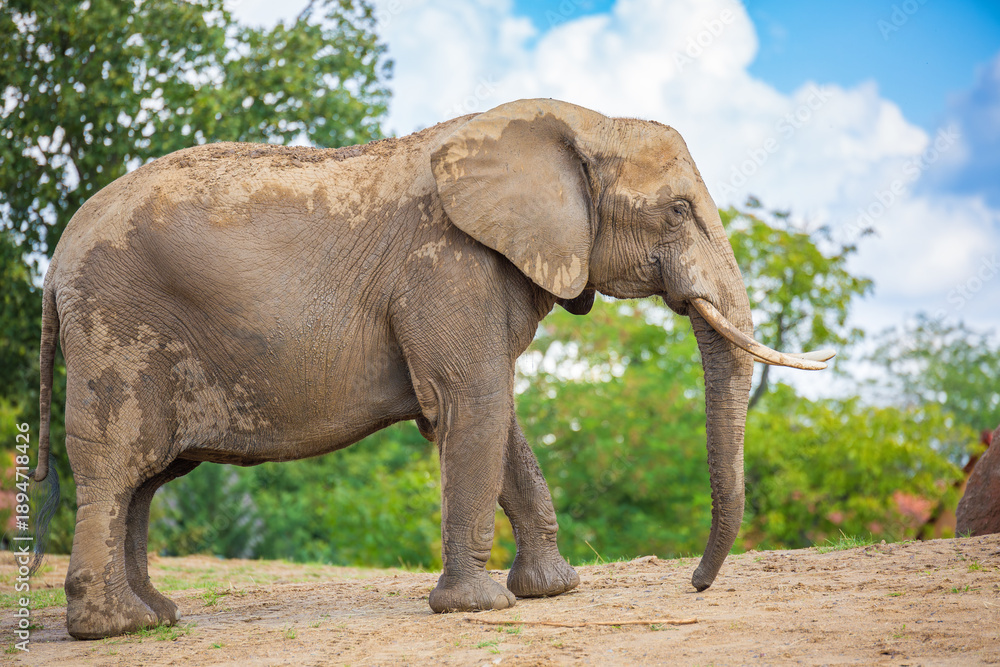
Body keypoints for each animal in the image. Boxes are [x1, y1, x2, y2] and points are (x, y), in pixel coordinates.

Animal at [34, 98, 833, 639]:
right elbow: (473, 403)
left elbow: (494, 416)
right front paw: (480, 606)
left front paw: (552, 590)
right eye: (677, 210)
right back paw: (113, 628)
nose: (695, 586)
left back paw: (156, 616)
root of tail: (53, 260)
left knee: (146, 478)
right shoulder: (446, 264)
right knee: (117, 465)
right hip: (117, 328)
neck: (579, 122)